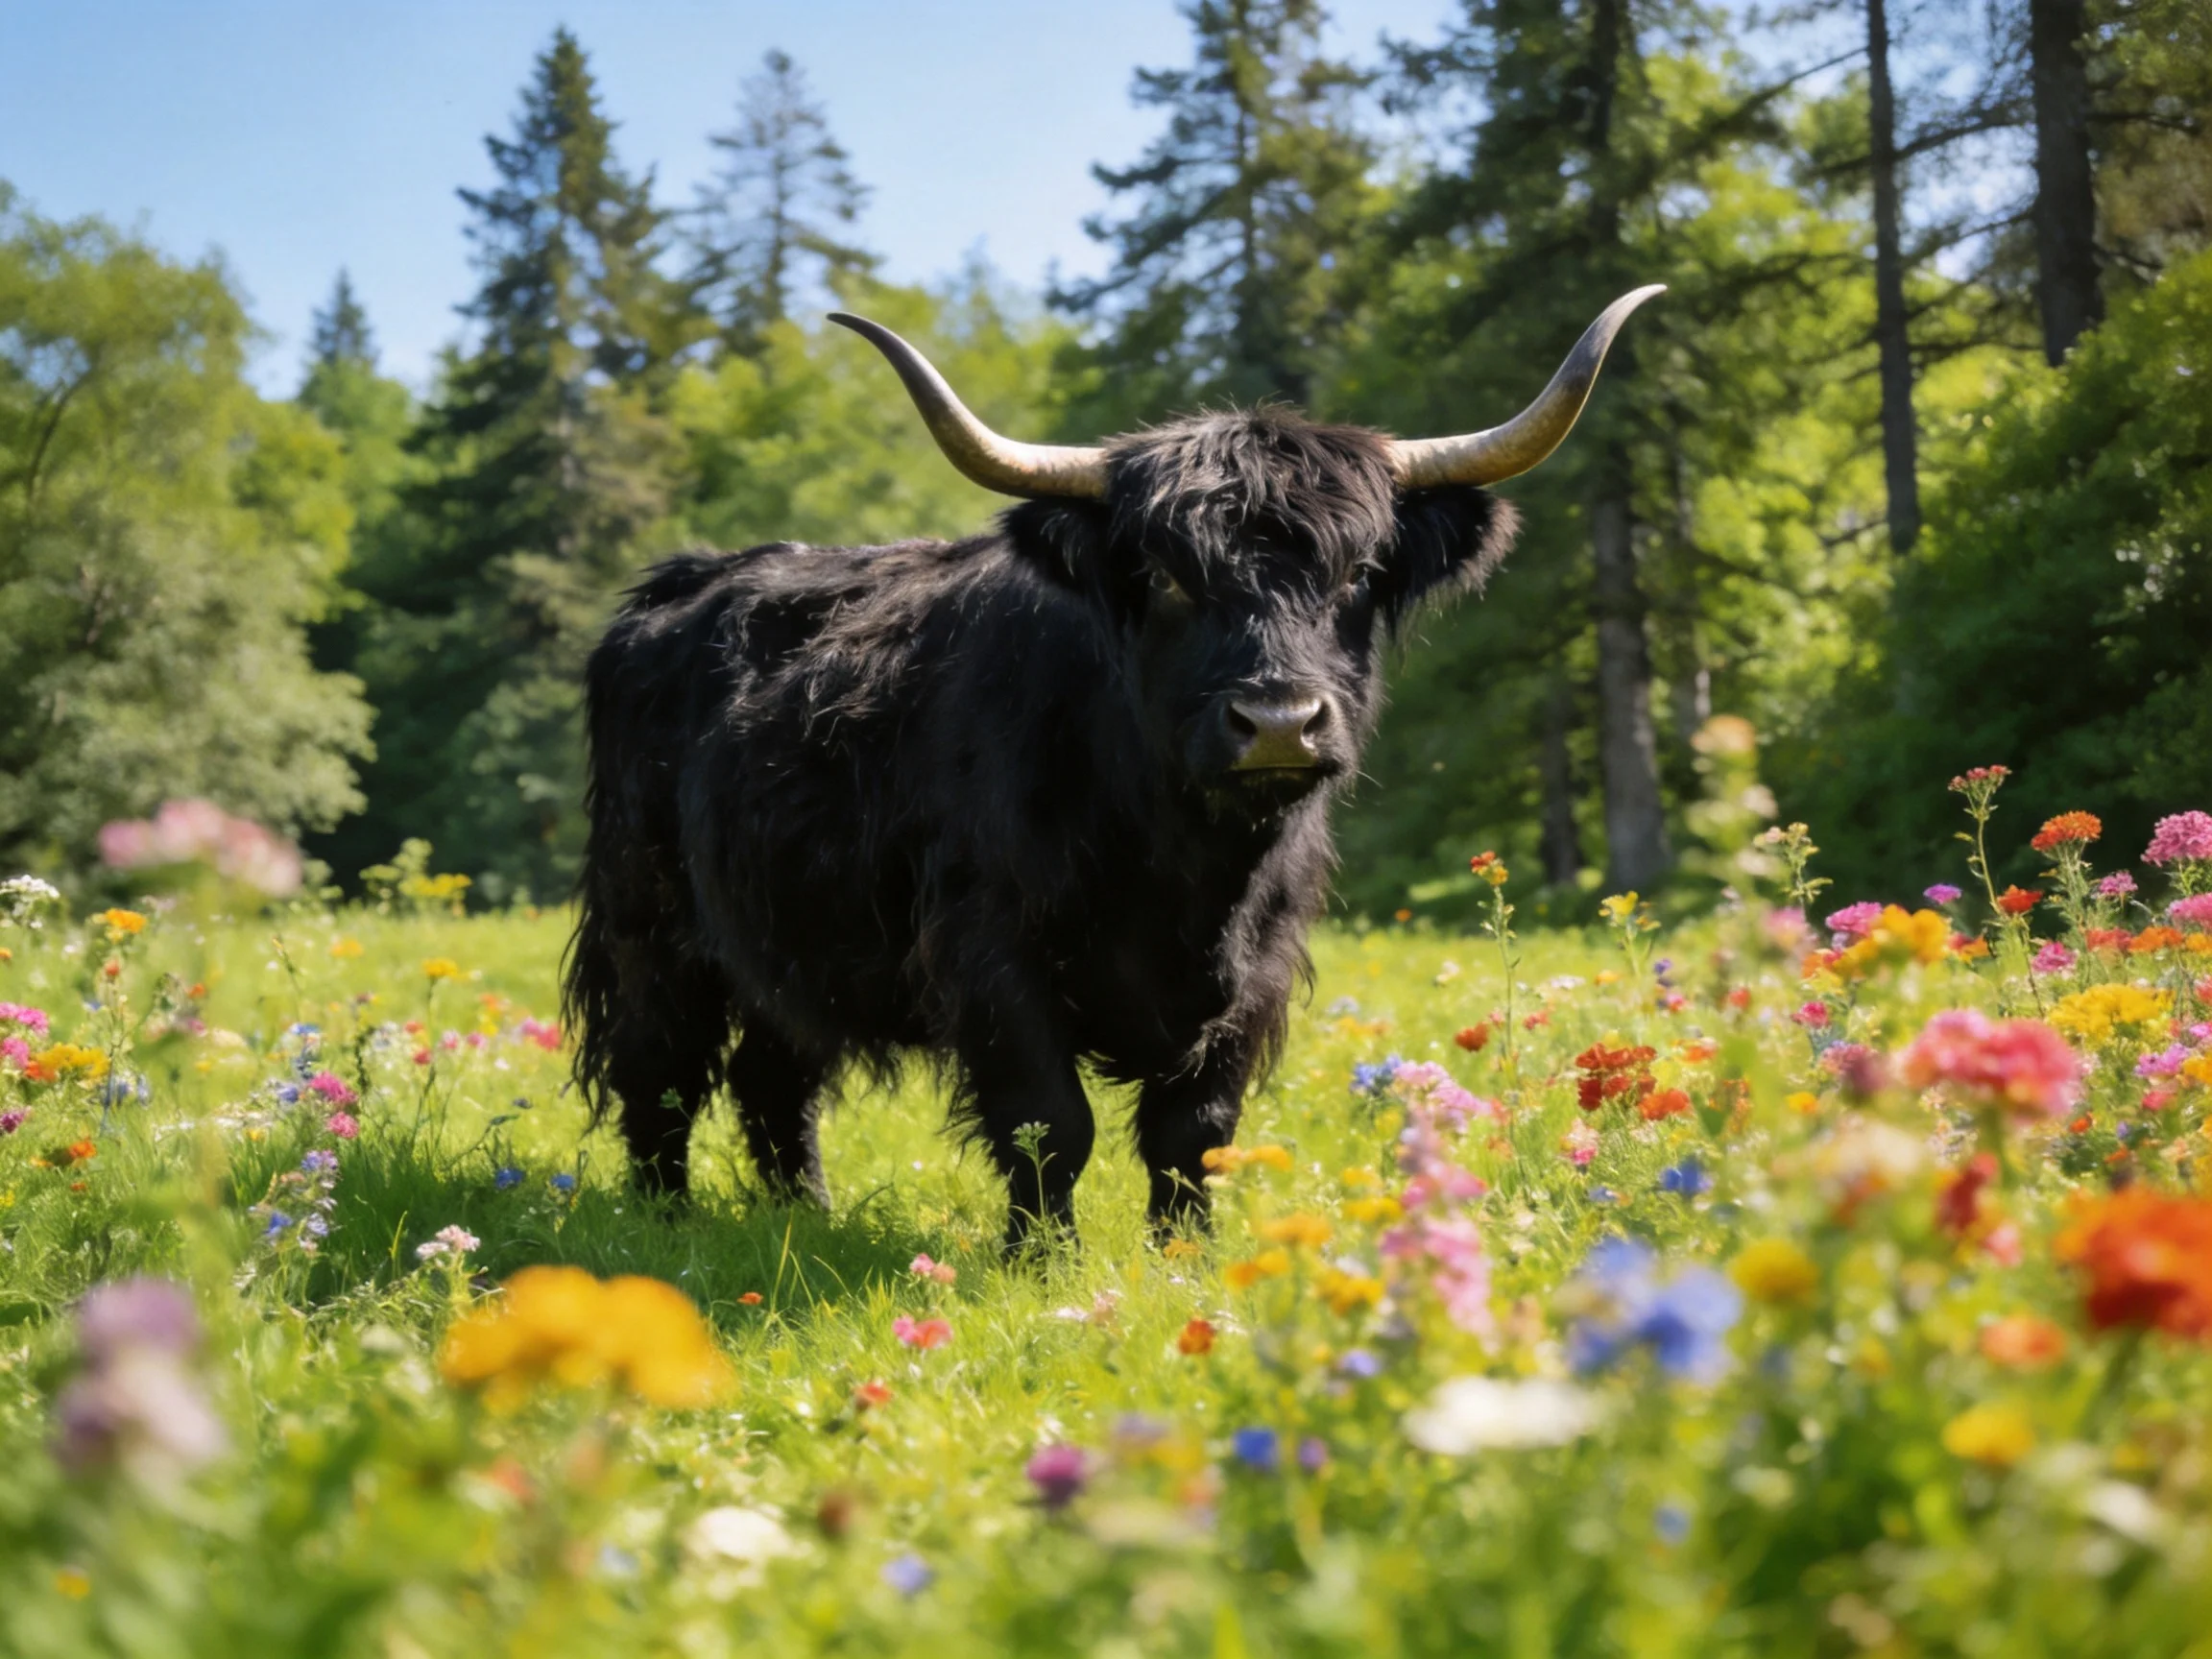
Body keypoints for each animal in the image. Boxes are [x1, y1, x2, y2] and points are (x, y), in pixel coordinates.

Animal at [563, 287, 1661, 1247]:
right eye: (1170, 578)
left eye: (1356, 574)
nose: (1277, 724)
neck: (1185, 867)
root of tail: (678, 586)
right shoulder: (993, 955)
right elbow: (1051, 1124)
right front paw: (1040, 1262)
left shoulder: (1255, 971)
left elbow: (1194, 1132)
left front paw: (1189, 1259)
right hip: (649, 924)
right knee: (659, 1070)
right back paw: (667, 1226)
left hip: (783, 941)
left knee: (773, 1075)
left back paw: (806, 1215)